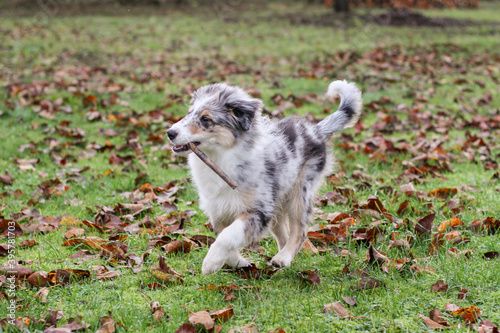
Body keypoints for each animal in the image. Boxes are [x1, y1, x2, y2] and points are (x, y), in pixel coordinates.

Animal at [166, 79, 362, 274]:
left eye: (206, 119)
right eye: (189, 113)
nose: (170, 133)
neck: (220, 157)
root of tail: (315, 130)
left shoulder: (259, 210)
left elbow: (228, 235)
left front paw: (210, 263)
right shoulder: (219, 210)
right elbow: (224, 235)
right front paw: (239, 263)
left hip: (300, 191)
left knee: (299, 231)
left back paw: (284, 258)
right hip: (278, 201)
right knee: (284, 233)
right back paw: (282, 262)